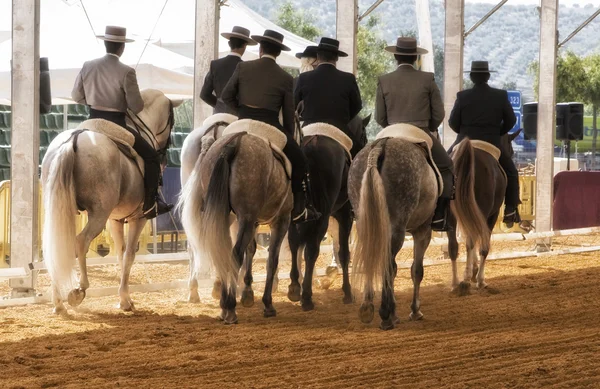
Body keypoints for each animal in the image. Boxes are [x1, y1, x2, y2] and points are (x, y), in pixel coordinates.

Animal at [41, 88, 182, 312]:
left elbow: (120, 253)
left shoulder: (115, 219)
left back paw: (58, 302)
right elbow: (129, 255)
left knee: (57, 246)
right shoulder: (138, 218)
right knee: (80, 241)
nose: (164, 158)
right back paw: (79, 289)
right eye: (171, 119)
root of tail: (74, 138)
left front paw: (124, 298)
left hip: (61, 210)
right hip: (98, 214)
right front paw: (125, 300)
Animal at [288, 113, 368, 310]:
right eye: (363, 134)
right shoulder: (344, 215)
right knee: (311, 251)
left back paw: (295, 287)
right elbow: (344, 253)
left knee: (294, 243)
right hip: (323, 217)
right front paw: (347, 292)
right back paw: (307, 297)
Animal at [446, 129, 520, 292]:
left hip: (451, 216)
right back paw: (467, 280)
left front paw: (473, 271)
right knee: (472, 241)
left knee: (454, 245)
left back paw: (455, 283)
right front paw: (479, 278)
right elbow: (483, 246)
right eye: (511, 150)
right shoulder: (491, 215)